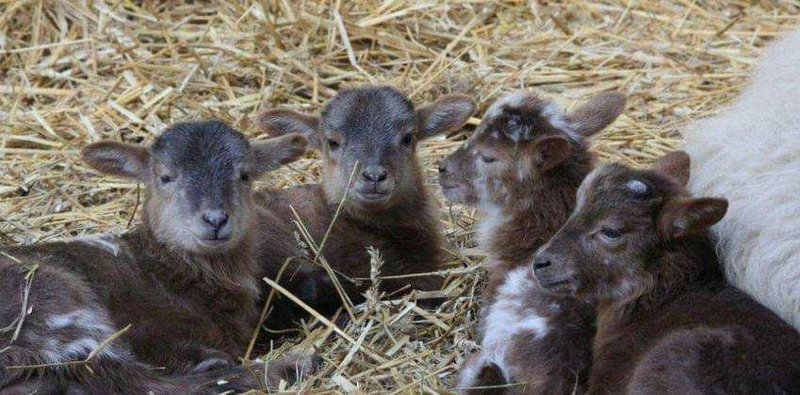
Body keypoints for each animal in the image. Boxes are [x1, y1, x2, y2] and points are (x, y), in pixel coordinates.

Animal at [0, 120, 310, 392]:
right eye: (165, 177)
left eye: (245, 175)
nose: (215, 219)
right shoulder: (150, 331)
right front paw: (208, 359)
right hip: (61, 311)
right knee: (141, 383)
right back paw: (294, 366)